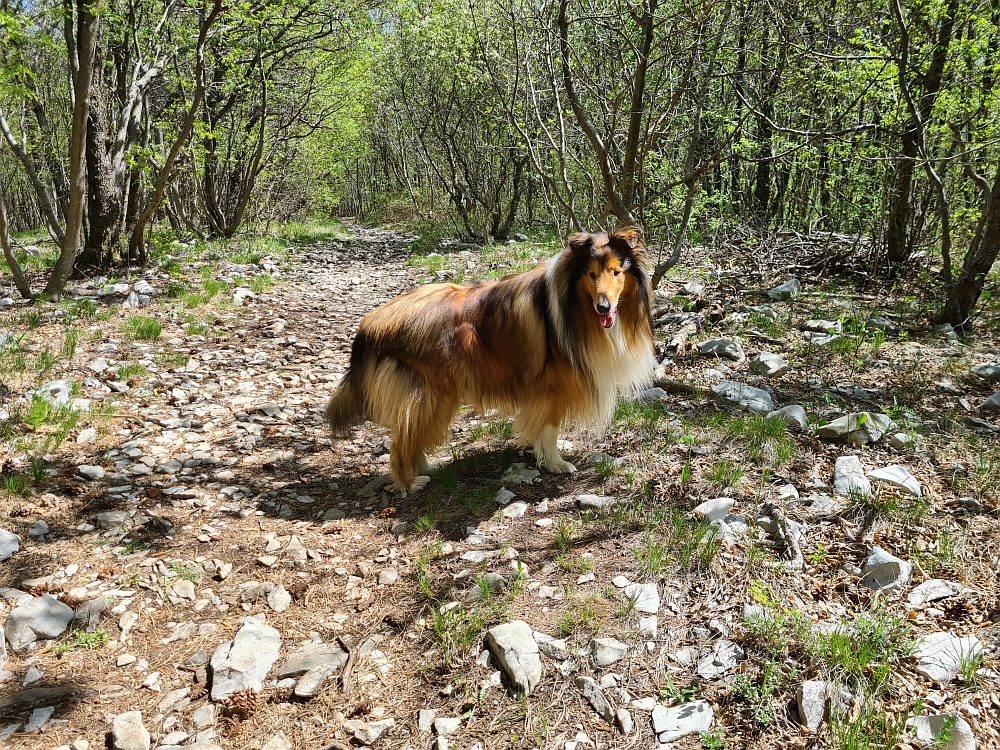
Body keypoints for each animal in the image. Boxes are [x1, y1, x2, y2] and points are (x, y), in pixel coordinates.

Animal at [324, 229, 660, 500]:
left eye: (616, 272)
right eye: (591, 274)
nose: (604, 307)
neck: (573, 306)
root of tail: (372, 322)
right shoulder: (552, 388)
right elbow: (550, 430)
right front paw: (555, 463)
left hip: (436, 398)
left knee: (412, 437)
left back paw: (426, 469)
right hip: (429, 395)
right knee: (399, 443)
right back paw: (409, 483)